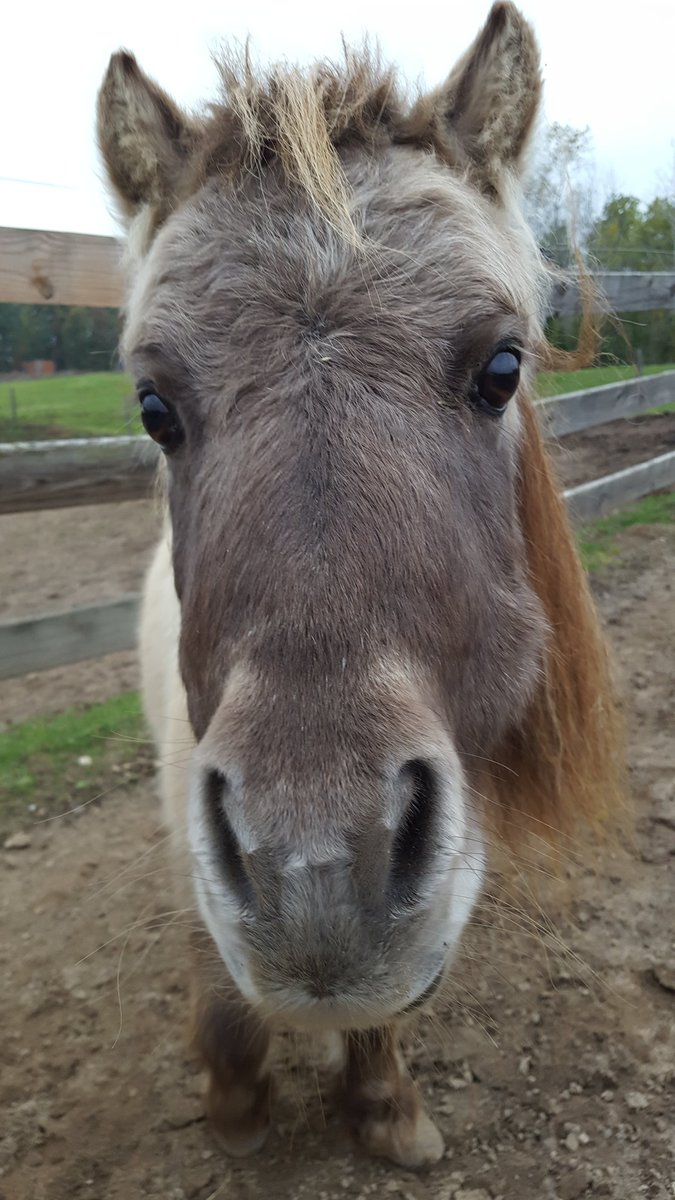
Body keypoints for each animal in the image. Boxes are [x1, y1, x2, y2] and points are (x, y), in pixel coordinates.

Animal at [97, 2, 620, 1168]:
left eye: (501, 369)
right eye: (154, 407)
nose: (319, 874)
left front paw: (381, 1101)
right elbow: (218, 980)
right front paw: (237, 1103)